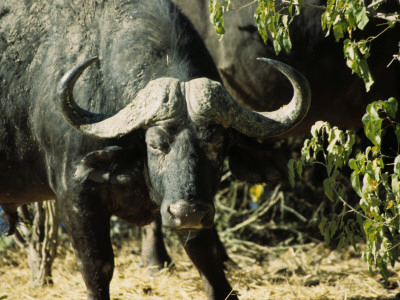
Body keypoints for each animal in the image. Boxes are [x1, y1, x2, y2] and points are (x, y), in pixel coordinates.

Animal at [0, 0, 310, 300]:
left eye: (217, 144)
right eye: (155, 144)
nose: (188, 212)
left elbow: (212, 271)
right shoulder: (75, 195)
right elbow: (97, 268)